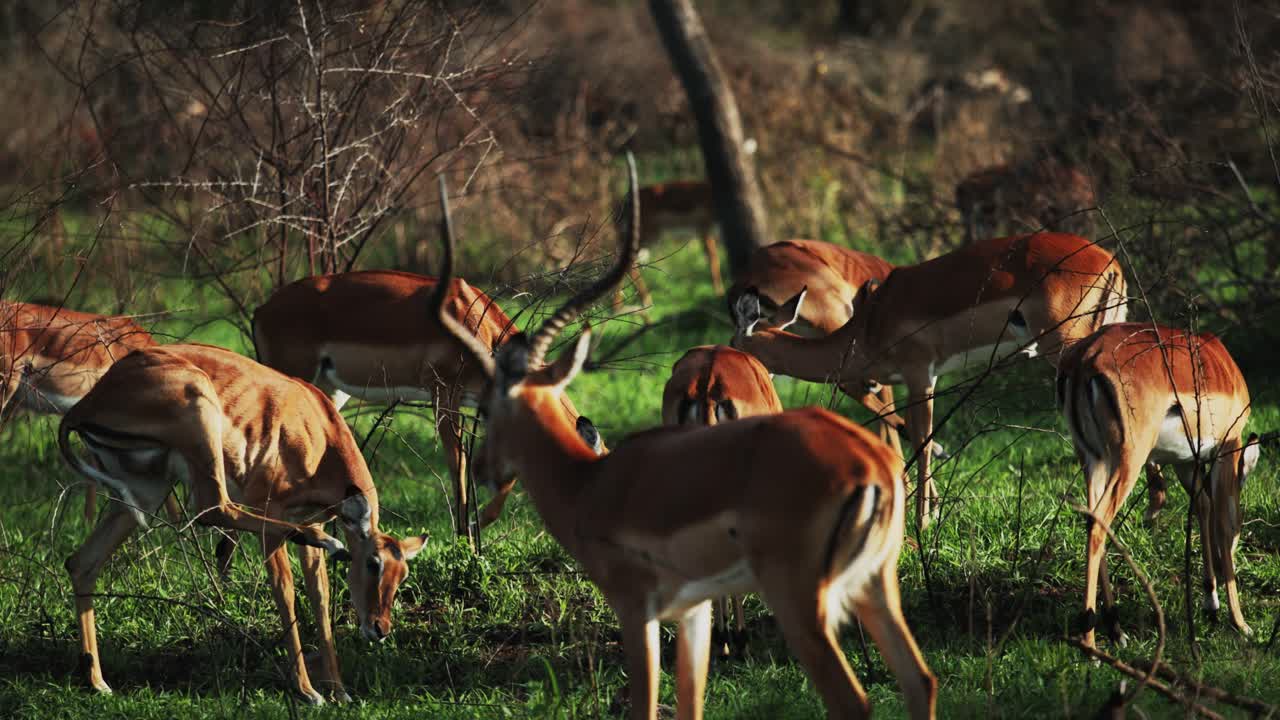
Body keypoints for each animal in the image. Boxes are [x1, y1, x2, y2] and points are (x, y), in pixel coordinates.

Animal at [57, 342, 425, 703]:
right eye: (373, 563)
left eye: (404, 573)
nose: (380, 628)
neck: (318, 433)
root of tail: (84, 406)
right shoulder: (273, 512)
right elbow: (285, 592)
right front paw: (308, 691)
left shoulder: (312, 519)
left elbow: (320, 598)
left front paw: (340, 691)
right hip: (200, 424)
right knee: (213, 509)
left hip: (147, 493)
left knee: (82, 563)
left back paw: (98, 682)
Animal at [614, 180, 721, 308]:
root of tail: (624, 201)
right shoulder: (705, 231)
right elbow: (713, 260)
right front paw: (719, 294)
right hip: (646, 238)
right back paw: (641, 303)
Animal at [1056, 323, 1262, 650]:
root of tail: (1085, 358)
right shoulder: (1226, 449)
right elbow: (1221, 521)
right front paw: (1240, 623)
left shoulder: (1186, 461)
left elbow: (1202, 506)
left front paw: (1211, 602)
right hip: (1129, 458)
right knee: (1099, 524)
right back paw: (1090, 641)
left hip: (1093, 459)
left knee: (1093, 519)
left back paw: (1116, 629)